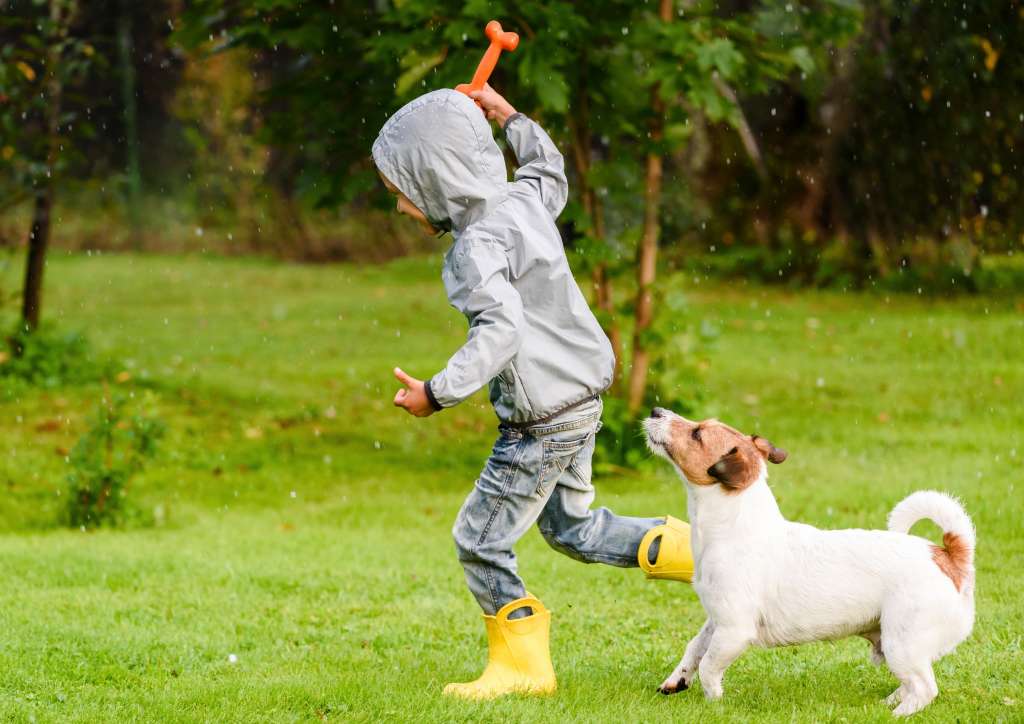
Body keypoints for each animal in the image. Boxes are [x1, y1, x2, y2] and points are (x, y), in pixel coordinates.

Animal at [647, 407, 974, 720]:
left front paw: (713, 701)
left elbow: (709, 666)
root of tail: (948, 556)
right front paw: (677, 680)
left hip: (902, 643)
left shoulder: (733, 630)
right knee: (911, 684)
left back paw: (897, 714)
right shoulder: (716, 620)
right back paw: (888, 703)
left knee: (924, 688)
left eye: (697, 434)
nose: (655, 411)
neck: (733, 527)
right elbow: (695, 648)